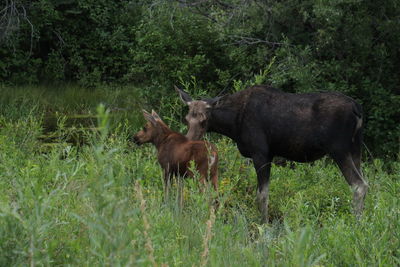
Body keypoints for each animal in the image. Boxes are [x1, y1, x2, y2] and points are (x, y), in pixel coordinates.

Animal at [176, 85, 368, 223]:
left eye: (204, 120)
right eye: (187, 118)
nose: (188, 142)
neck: (232, 124)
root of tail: (357, 108)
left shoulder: (261, 153)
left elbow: (262, 194)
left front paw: (263, 223)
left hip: (339, 149)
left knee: (359, 185)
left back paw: (356, 223)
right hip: (355, 149)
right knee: (365, 182)